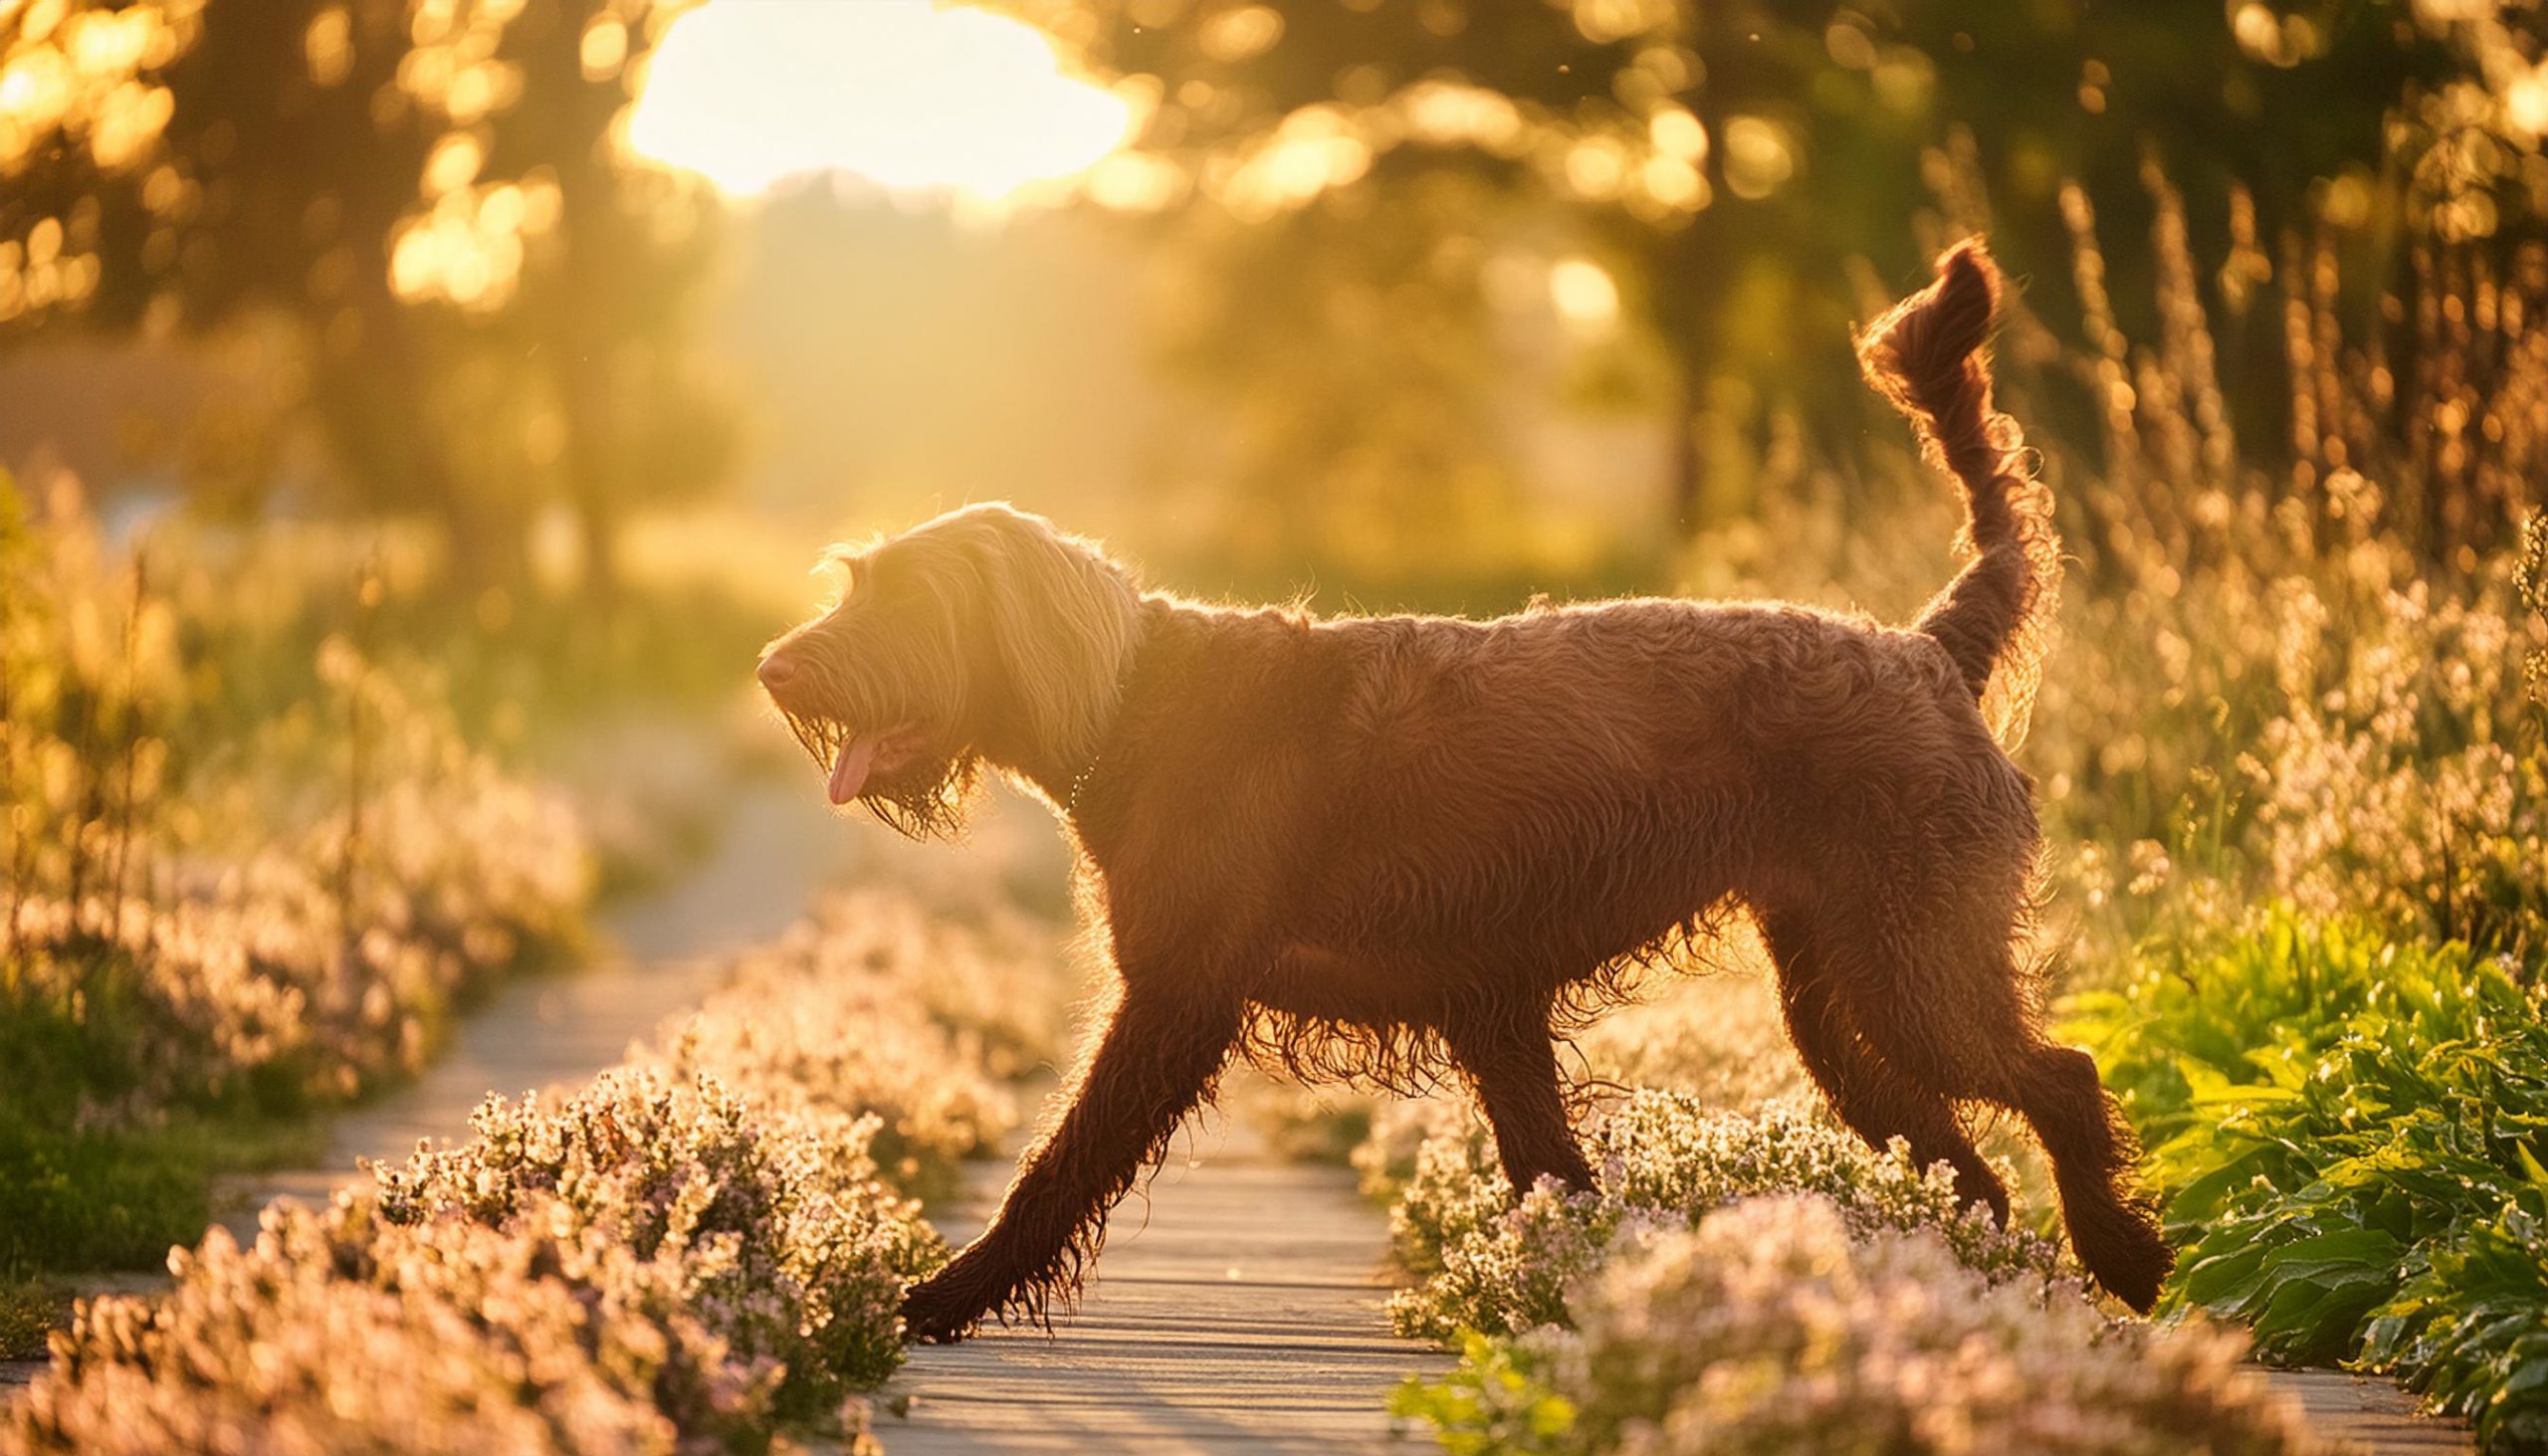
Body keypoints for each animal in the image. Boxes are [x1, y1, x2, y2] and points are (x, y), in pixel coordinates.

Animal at [748, 242, 2171, 1346]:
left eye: (901, 596)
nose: (775, 666)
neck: (1137, 699)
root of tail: (1929, 647)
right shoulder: (1492, 1010)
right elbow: (1556, 1174)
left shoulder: (1174, 1000)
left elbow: (1056, 1167)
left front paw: (941, 1296)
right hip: (1839, 990)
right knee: (1954, 1150)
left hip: (1911, 967)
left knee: (2061, 1077)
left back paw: (2124, 1255)